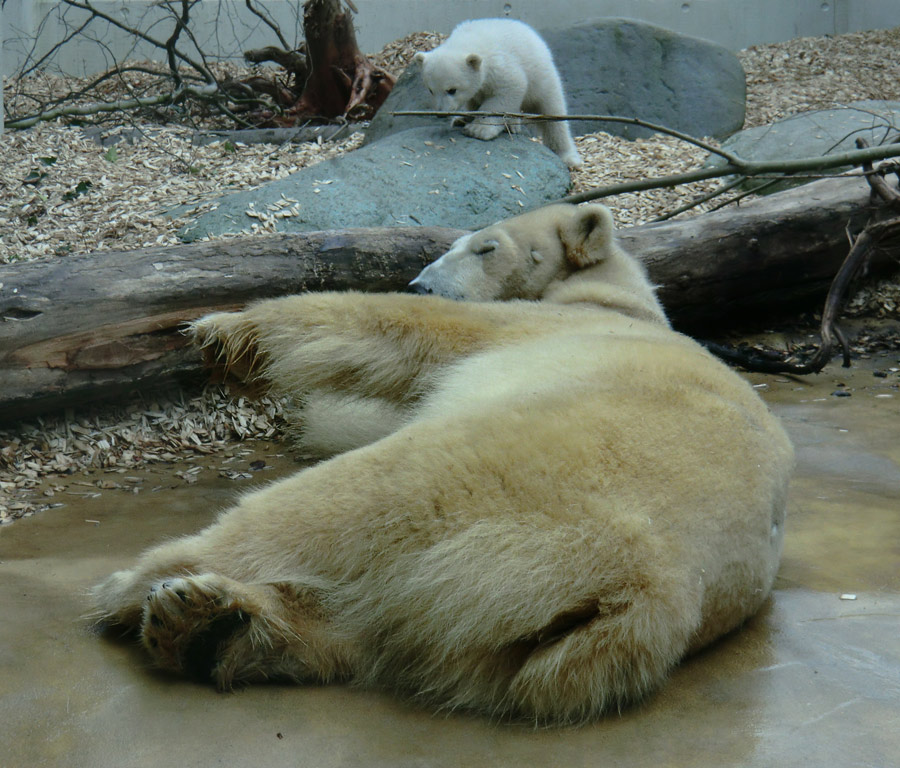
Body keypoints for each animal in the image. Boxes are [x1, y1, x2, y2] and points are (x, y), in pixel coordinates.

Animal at [91, 206, 792, 728]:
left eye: (486, 246)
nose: (421, 279)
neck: (617, 298)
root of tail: (647, 593)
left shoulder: (527, 329)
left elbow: (397, 328)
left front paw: (225, 332)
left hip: (497, 473)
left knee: (334, 509)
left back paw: (145, 584)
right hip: (503, 624)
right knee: (367, 627)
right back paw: (208, 625)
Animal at [414, 18, 584, 168]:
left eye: (452, 90)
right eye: (431, 90)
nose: (440, 113)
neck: (470, 39)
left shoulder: (500, 65)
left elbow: (509, 89)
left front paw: (478, 129)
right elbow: (476, 97)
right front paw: (466, 120)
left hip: (542, 78)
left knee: (553, 115)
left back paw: (567, 156)